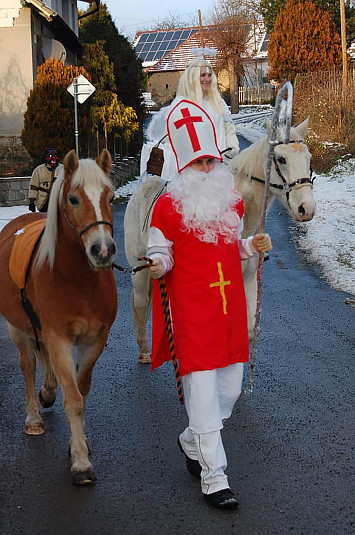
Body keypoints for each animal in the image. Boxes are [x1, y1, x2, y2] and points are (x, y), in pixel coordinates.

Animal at [0, 150, 118, 486]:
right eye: (73, 199)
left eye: (110, 197)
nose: (103, 251)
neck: (77, 281)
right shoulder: (59, 338)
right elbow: (74, 399)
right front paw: (81, 463)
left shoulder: (95, 340)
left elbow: (80, 390)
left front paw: (79, 445)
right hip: (17, 329)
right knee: (28, 365)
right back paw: (33, 417)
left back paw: (48, 391)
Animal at [124, 115, 318, 362]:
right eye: (281, 159)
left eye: (308, 158)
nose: (306, 209)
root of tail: (143, 189)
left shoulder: (248, 280)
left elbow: (247, 328)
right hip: (139, 273)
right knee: (140, 304)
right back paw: (145, 351)